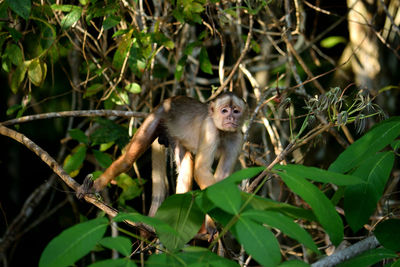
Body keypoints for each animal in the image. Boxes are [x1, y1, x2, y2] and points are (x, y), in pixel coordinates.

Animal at [76, 93, 245, 232]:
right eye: (224, 111)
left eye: (236, 111)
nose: (231, 119)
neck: (222, 132)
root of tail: (168, 100)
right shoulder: (210, 129)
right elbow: (201, 170)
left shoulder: (237, 138)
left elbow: (222, 180)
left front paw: (217, 218)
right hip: (157, 116)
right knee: (128, 160)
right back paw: (94, 186)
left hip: (172, 134)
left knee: (185, 167)